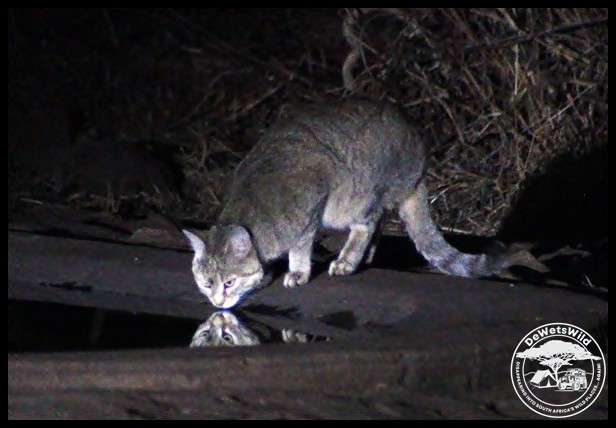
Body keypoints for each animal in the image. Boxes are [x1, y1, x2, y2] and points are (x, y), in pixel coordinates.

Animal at [183, 99, 520, 309]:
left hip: (361, 194)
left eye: (228, 283)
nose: (216, 302)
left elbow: (300, 249)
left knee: (367, 224)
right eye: (205, 283)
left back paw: (349, 259)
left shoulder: (310, 210)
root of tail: (419, 164)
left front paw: (297, 272)